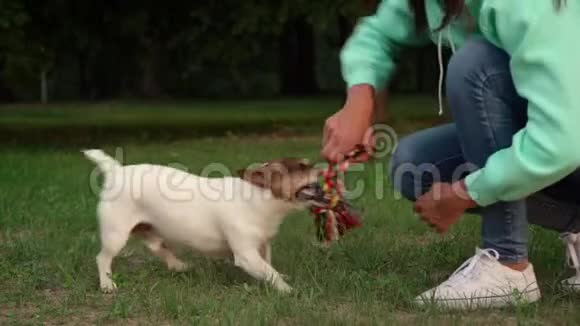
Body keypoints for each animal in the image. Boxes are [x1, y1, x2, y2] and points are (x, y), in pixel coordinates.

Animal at [83, 150, 322, 292]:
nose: (321, 168)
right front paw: (286, 289)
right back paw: (107, 284)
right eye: (302, 167)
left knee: (156, 246)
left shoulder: (263, 244)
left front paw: (278, 278)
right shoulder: (246, 255)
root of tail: (116, 171)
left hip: (149, 227)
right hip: (115, 234)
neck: (258, 197)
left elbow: (269, 265)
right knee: (102, 258)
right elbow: (268, 271)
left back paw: (178, 265)